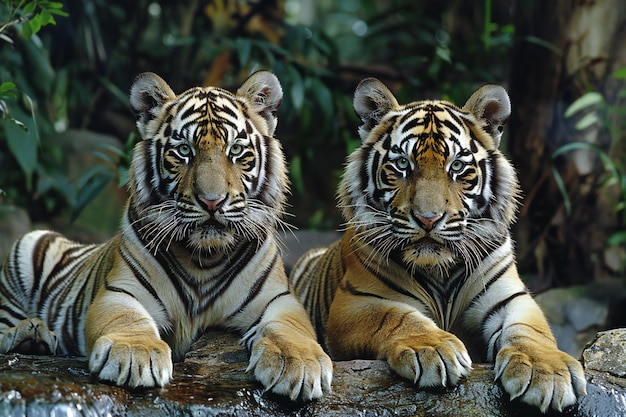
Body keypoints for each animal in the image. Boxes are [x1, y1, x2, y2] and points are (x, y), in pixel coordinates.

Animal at [0, 70, 332, 400]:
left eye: (236, 150)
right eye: (184, 151)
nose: (212, 201)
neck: (205, 256)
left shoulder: (280, 299)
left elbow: (291, 329)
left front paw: (298, 363)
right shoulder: (121, 291)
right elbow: (127, 319)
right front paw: (134, 353)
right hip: (27, 247)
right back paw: (29, 335)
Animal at [290, 77, 588, 410]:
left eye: (456, 167)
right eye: (401, 164)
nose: (428, 219)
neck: (439, 268)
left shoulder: (510, 297)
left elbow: (530, 330)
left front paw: (548, 372)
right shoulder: (356, 303)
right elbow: (397, 317)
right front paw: (432, 349)